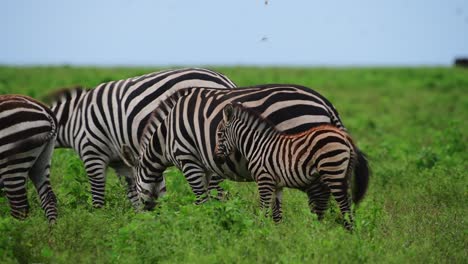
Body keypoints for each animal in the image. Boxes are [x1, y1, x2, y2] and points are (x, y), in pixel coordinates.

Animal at [0, 95, 58, 223]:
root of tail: (44, 110)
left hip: (12, 167)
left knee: (20, 208)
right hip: (42, 160)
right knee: (49, 198)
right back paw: (53, 229)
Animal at [49, 68, 236, 208]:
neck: (72, 119)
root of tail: (227, 81)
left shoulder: (92, 152)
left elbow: (97, 196)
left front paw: (96, 222)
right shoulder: (121, 162)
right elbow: (134, 193)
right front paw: (142, 222)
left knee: (217, 191)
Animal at [216, 102, 370, 229]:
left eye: (219, 134)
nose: (217, 158)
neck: (258, 146)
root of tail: (345, 138)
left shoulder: (264, 179)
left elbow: (263, 210)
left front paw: (259, 232)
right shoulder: (277, 184)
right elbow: (277, 214)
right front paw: (277, 235)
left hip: (333, 172)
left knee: (344, 206)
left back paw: (348, 233)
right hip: (345, 174)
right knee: (348, 204)